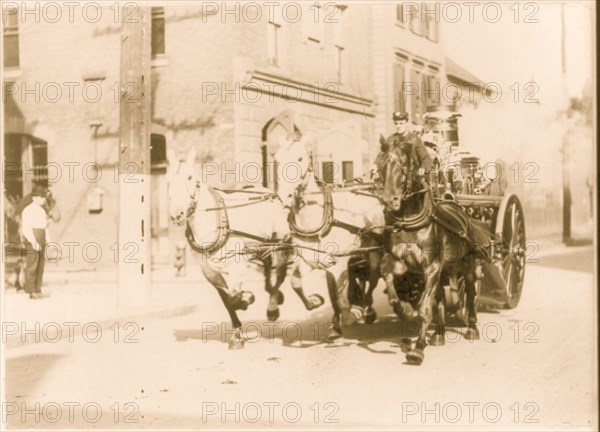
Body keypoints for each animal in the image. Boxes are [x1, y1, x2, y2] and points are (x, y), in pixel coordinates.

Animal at [378, 145, 480, 364]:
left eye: (405, 165)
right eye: (380, 165)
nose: (390, 200)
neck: (409, 222)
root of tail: (454, 204)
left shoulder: (431, 267)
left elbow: (425, 307)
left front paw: (417, 349)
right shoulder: (403, 262)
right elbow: (387, 274)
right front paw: (404, 310)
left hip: (467, 264)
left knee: (470, 291)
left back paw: (472, 328)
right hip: (443, 270)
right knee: (440, 297)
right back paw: (439, 333)